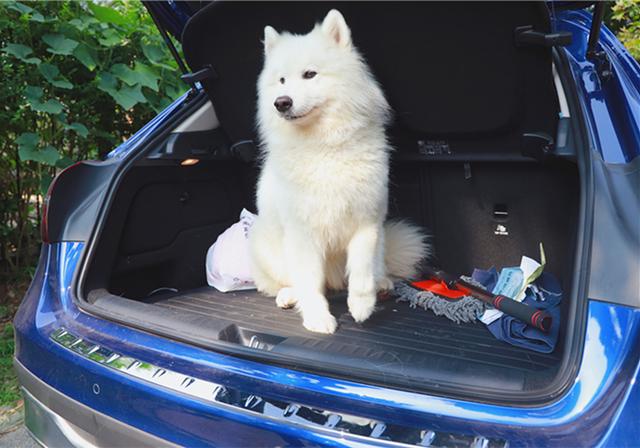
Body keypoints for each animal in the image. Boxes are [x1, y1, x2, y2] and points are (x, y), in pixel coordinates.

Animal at [249, 9, 424, 332]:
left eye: (310, 74)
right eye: (281, 80)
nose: (281, 103)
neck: (324, 146)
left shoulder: (367, 224)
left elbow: (362, 272)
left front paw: (362, 305)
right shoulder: (303, 234)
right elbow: (309, 282)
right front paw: (318, 318)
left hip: (382, 239)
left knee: (377, 268)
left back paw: (383, 283)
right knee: (288, 282)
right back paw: (289, 296)